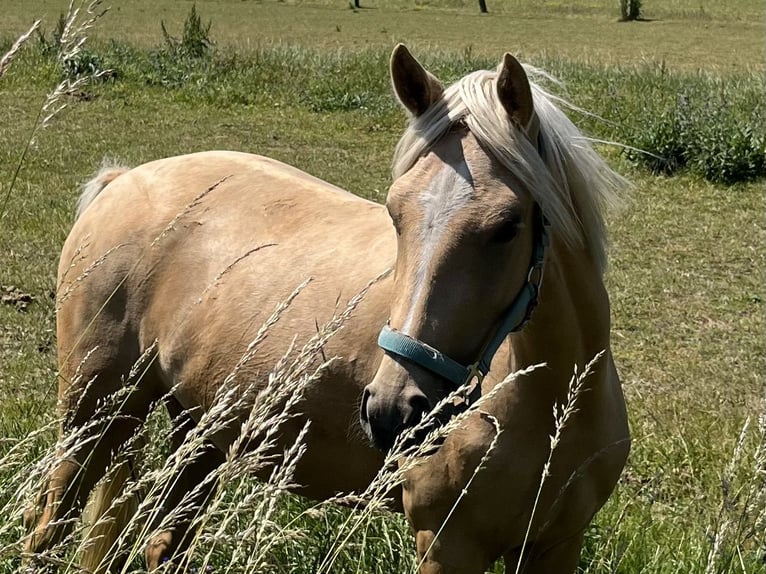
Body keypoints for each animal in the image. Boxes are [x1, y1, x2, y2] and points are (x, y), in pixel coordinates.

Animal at [27, 47, 632, 572]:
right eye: (395, 213)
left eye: (507, 226)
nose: (394, 409)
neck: (550, 399)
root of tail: (121, 181)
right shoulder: (446, 546)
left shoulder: (554, 546)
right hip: (95, 413)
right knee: (48, 527)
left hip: (198, 430)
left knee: (162, 542)